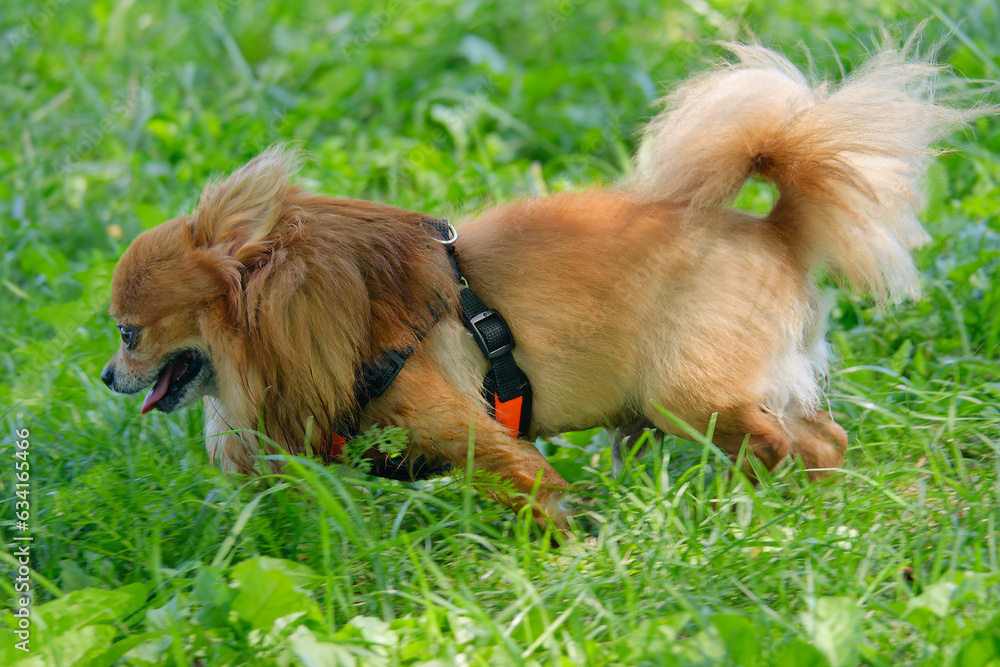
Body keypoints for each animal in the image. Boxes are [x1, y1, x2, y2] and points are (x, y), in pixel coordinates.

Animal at [103, 41, 976, 528]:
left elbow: (530, 485)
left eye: (129, 333)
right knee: (823, 436)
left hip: (689, 394)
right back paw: (812, 506)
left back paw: (754, 505)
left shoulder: (470, 431)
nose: (110, 375)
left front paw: (564, 547)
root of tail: (776, 228)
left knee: (774, 439)